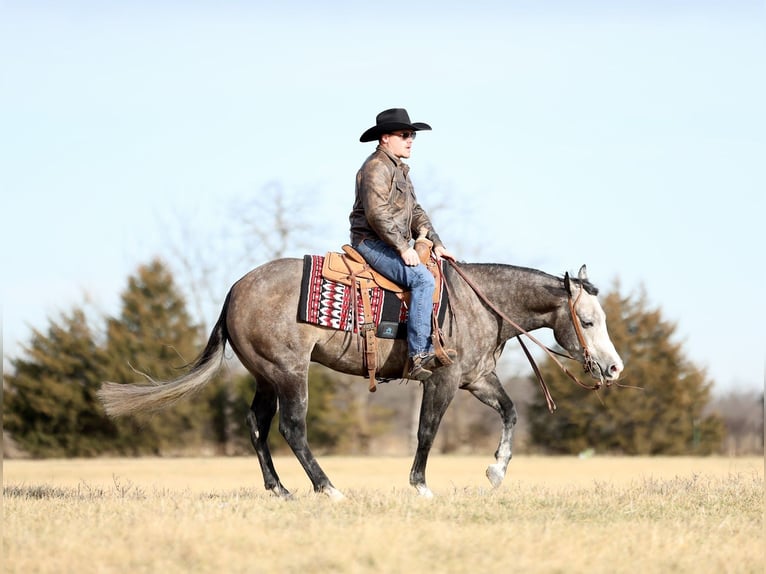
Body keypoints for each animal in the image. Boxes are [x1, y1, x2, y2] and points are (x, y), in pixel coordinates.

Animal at [98, 260, 623, 499]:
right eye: (588, 321)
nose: (615, 368)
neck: (477, 303)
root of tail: (233, 291)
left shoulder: (477, 378)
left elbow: (511, 413)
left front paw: (496, 472)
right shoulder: (443, 380)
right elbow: (427, 431)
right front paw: (421, 486)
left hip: (267, 377)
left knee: (256, 425)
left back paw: (280, 490)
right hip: (290, 374)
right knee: (291, 428)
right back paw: (327, 488)